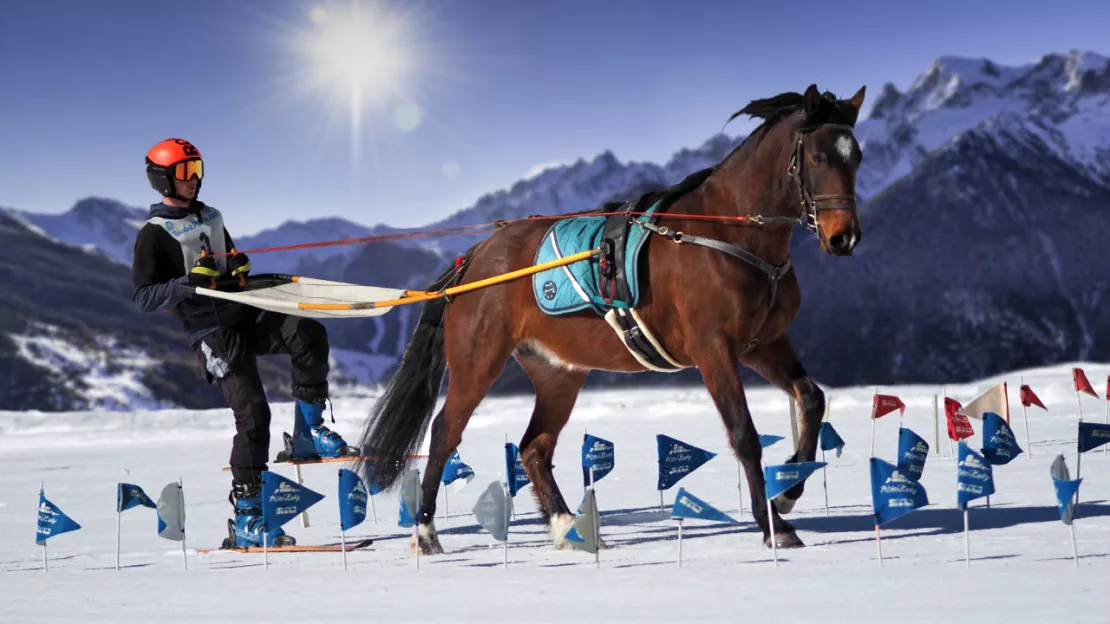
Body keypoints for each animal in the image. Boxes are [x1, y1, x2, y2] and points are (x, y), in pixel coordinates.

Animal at [355, 81, 865, 548]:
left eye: (856, 157)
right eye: (818, 157)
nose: (844, 237)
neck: (728, 234)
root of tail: (476, 258)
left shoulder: (763, 344)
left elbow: (812, 398)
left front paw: (788, 493)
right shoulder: (714, 350)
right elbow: (744, 434)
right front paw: (772, 524)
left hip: (558, 373)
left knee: (534, 447)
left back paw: (567, 527)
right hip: (478, 362)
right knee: (445, 432)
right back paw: (426, 532)